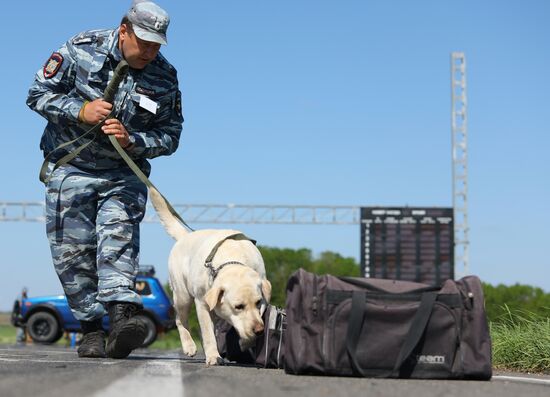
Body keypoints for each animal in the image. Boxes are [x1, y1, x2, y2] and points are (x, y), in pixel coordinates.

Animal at [150, 187, 272, 364]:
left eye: (258, 303)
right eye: (238, 306)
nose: (259, 330)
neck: (233, 259)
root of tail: (185, 235)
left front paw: (245, 342)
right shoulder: (202, 302)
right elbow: (208, 333)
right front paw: (214, 356)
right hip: (182, 296)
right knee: (180, 320)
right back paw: (189, 346)